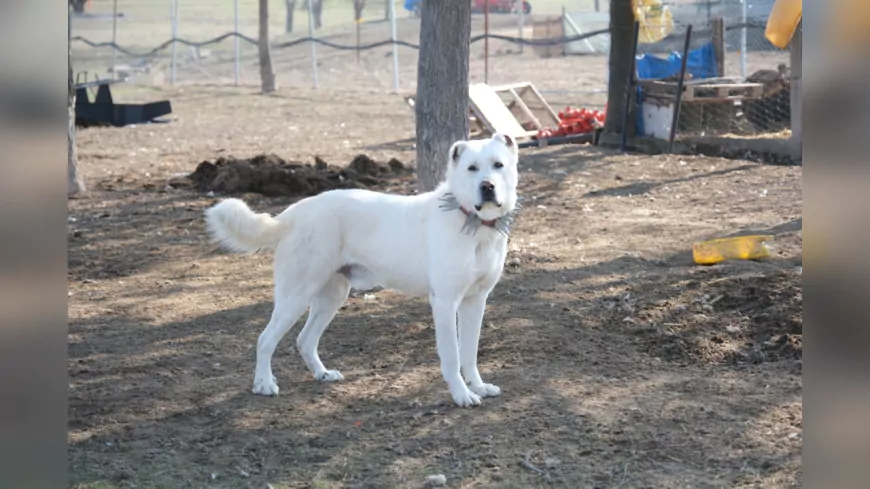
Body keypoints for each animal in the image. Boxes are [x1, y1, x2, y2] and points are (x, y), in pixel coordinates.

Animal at [208, 132, 520, 406]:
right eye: (471, 168)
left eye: (498, 165)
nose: (487, 186)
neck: (473, 222)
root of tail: (293, 213)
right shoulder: (444, 303)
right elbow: (453, 357)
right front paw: (462, 395)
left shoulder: (475, 302)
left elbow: (469, 352)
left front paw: (478, 386)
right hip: (295, 295)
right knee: (265, 339)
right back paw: (264, 384)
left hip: (332, 296)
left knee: (304, 340)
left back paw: (322, 374)